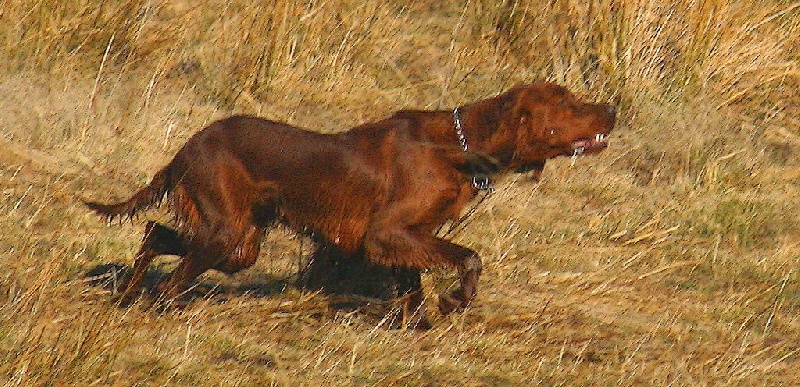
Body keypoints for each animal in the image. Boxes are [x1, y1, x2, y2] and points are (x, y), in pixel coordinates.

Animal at [84, 82, 616, 328]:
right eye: (568, 102)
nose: (612, 108)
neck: (460, 147)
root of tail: (187, 147)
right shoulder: (388, 232)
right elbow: (469, 258)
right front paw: (455, 300)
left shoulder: (404, 238)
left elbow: (412, 285)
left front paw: (417, 327)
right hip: (227, 232)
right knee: (171, 272)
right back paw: (156, 305)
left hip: (239, 242)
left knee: (155, 233)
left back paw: (128, 294)